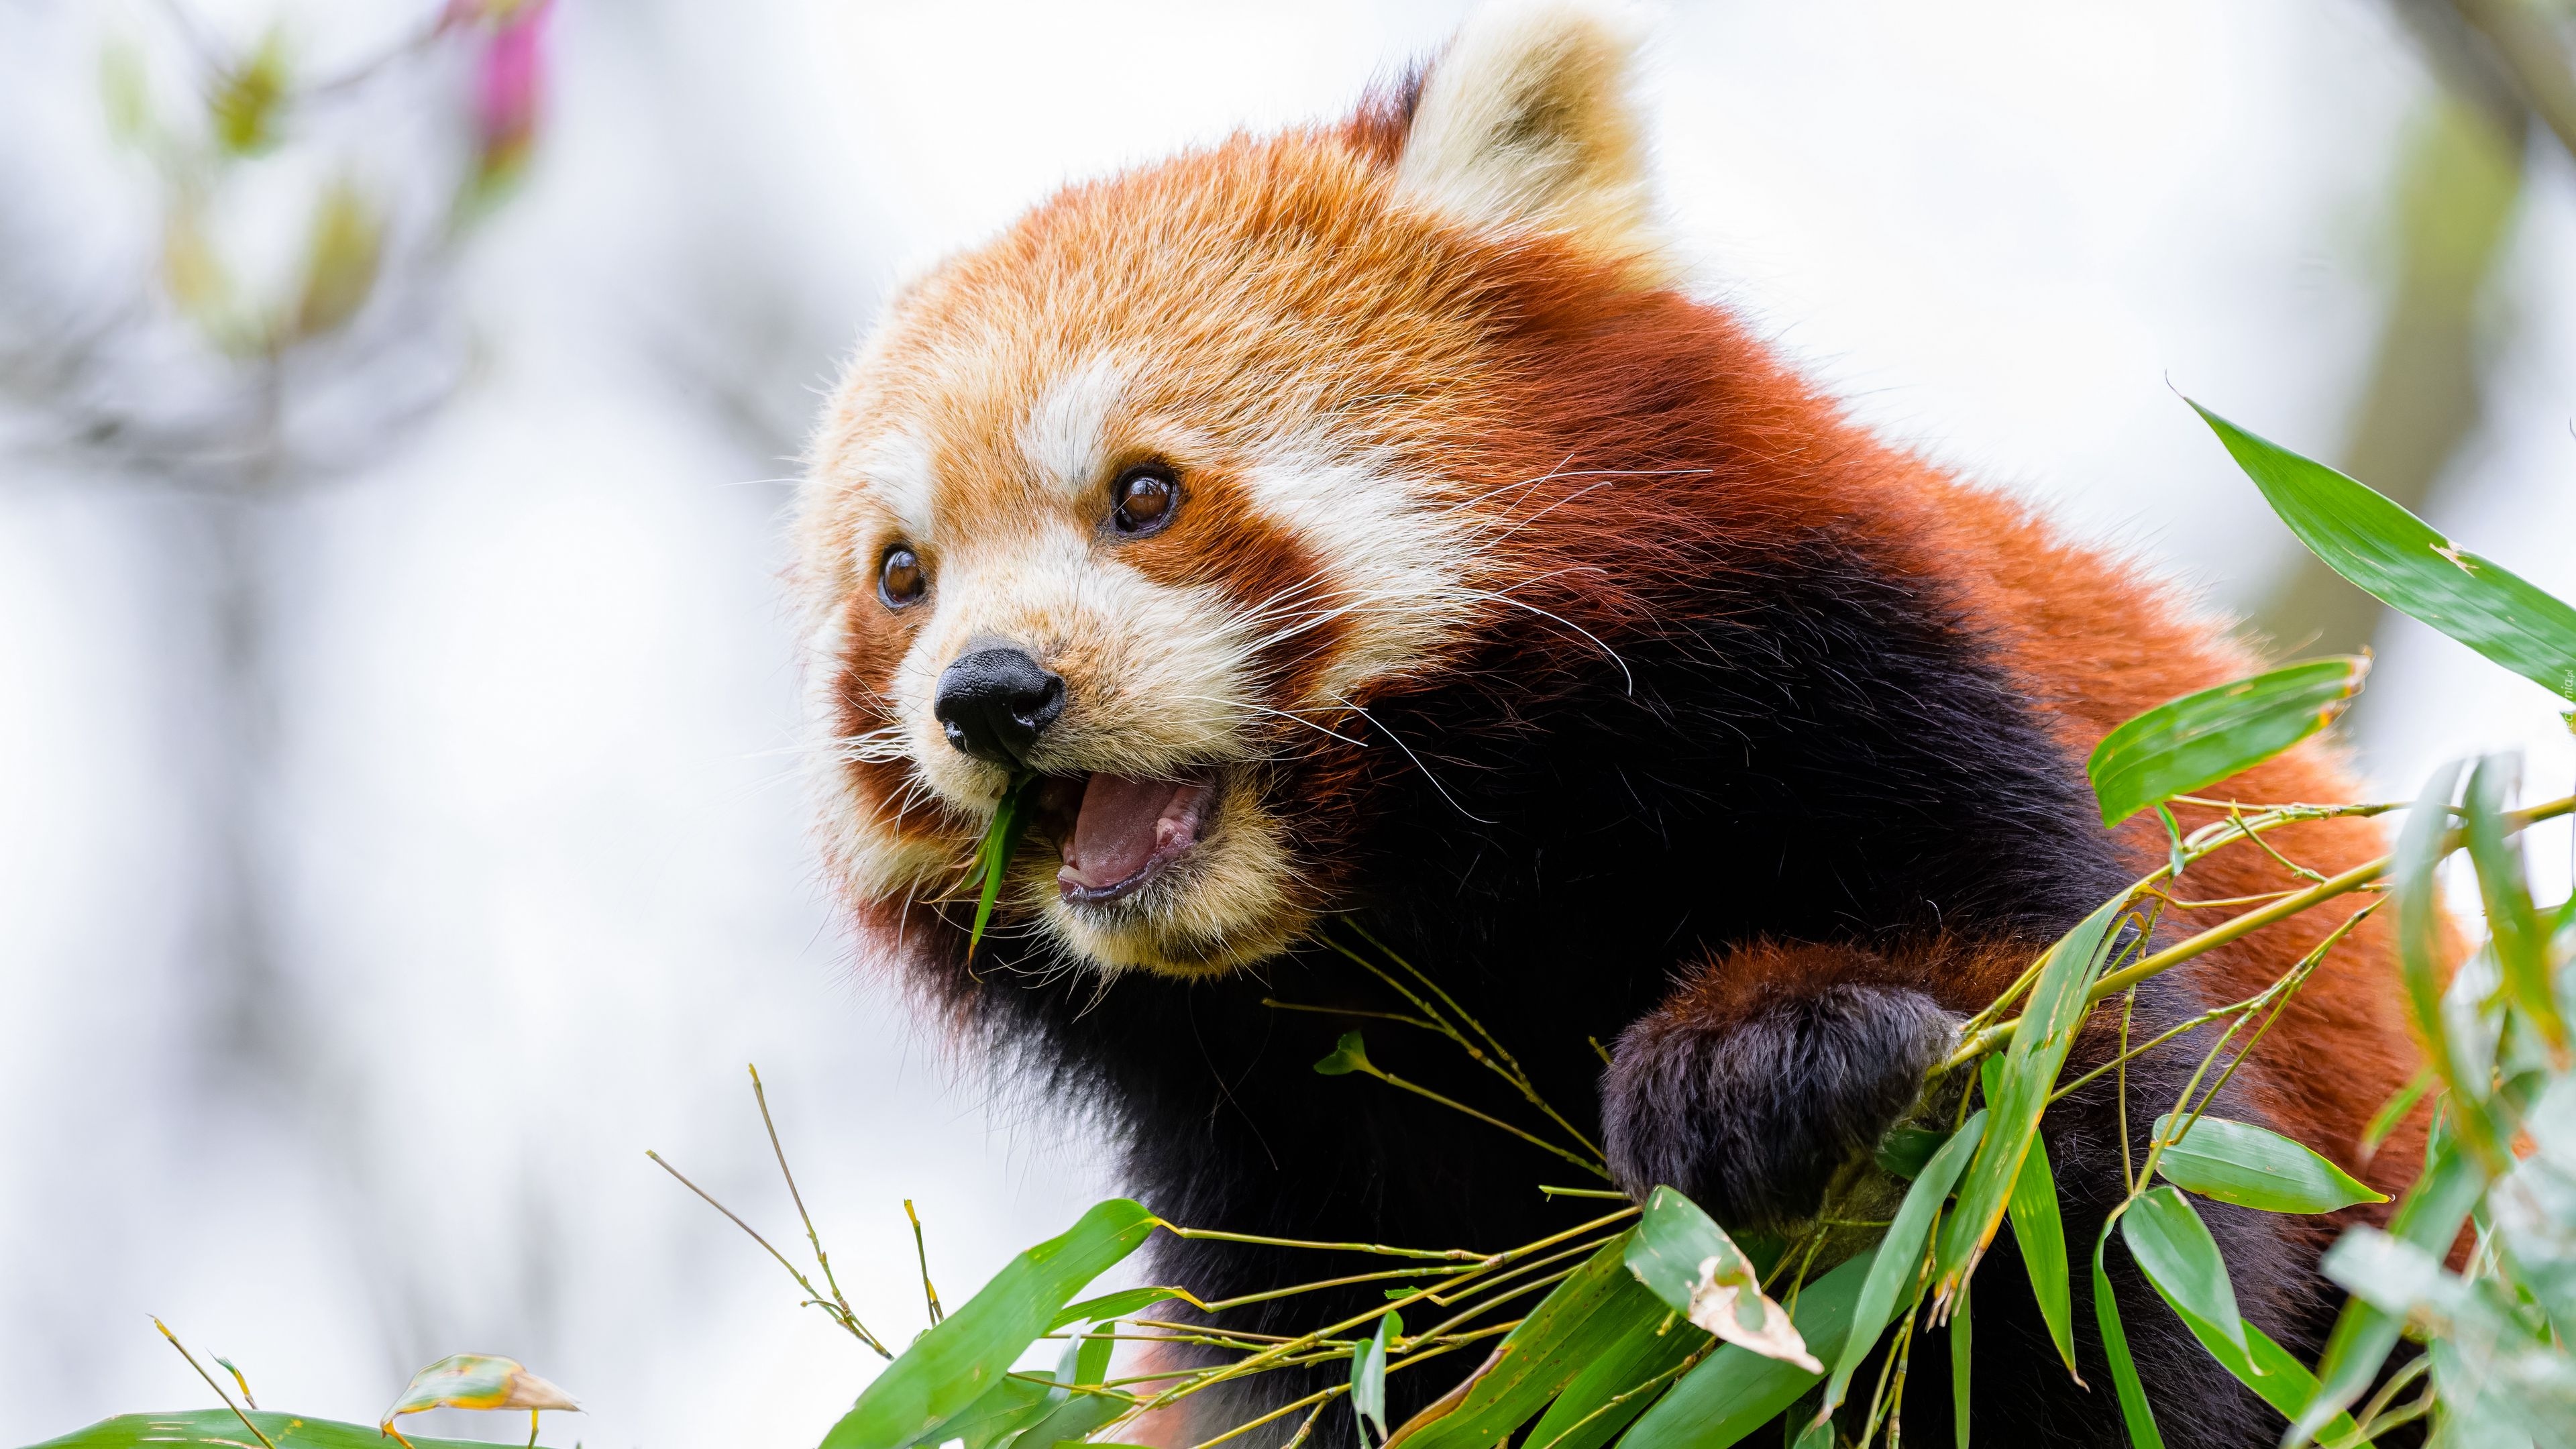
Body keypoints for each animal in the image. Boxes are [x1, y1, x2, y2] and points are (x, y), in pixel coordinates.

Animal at [793, 5, 2421, 1433]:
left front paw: (1778, 1059)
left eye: (1144, 495)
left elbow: (2084, 1226)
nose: (989, 694)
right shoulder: (1276, 1181)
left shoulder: (1894, 717)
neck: (1422, 913)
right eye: (902, 577)